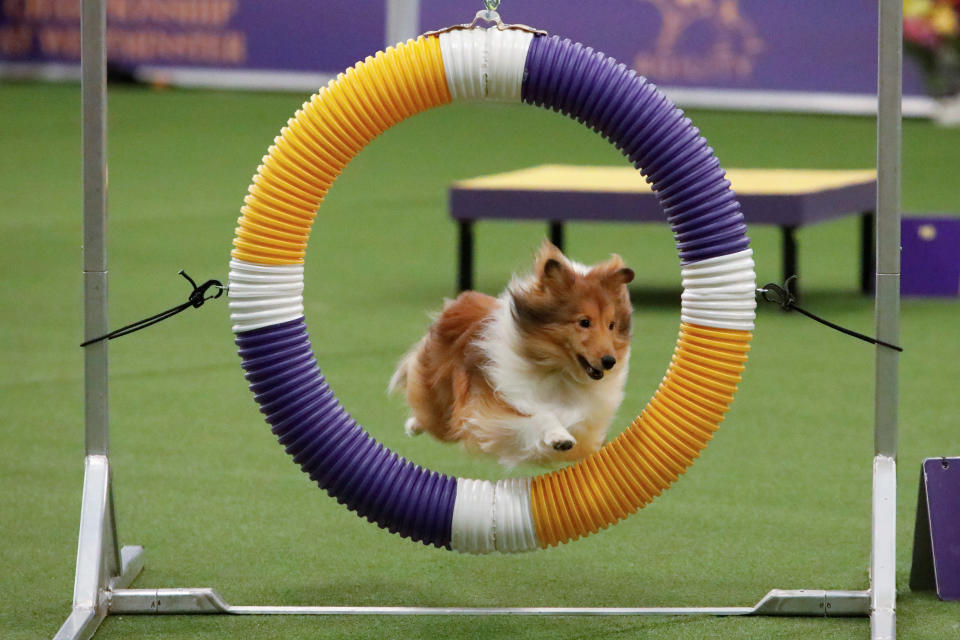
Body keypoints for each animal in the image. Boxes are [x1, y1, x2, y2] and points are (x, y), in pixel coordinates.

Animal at [386, 240, 632, 464]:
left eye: (611, 325)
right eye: (584, 322)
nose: (609, 361)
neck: (558, 371)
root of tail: (460, 301)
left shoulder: (588, 417)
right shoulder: (492, 408)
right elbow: (539, 415)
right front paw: (559, 437)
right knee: (430, 414)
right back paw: (413, 425)